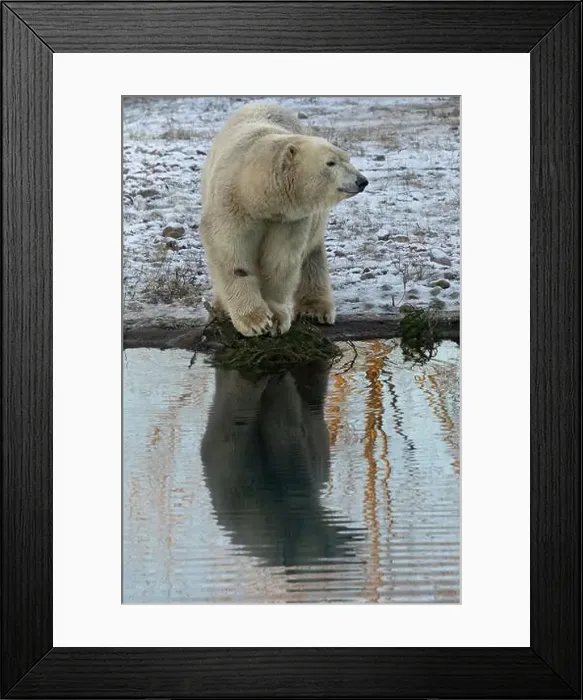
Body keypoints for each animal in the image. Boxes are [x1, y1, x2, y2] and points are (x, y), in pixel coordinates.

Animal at [199, 103, 368, 337]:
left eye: (347, 159)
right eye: (330, 163)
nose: (362, 180)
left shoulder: (289, 219)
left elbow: (280, 261)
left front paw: (276, 320)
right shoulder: (231, 207)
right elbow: (231, 255)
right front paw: (254, 321)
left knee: (312, 255)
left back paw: (316, 310)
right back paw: (219, 311)